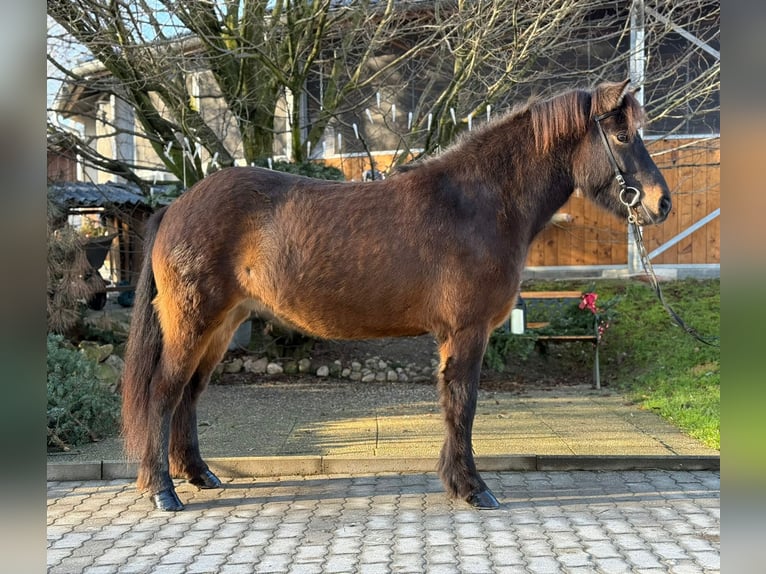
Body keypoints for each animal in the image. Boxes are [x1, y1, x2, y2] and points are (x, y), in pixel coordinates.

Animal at [121, 80, 672, 512]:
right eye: (623, 135)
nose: (661, 203)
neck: (476, 203)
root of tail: (175, 207)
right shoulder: (467, 332)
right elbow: (463, 404)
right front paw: (472, 488)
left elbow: (453, 405)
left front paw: (458, 482)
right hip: (193, 323)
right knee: (164, 392)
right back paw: (163, 491)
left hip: (222, 325)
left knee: (189, 394)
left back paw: (198, 475)